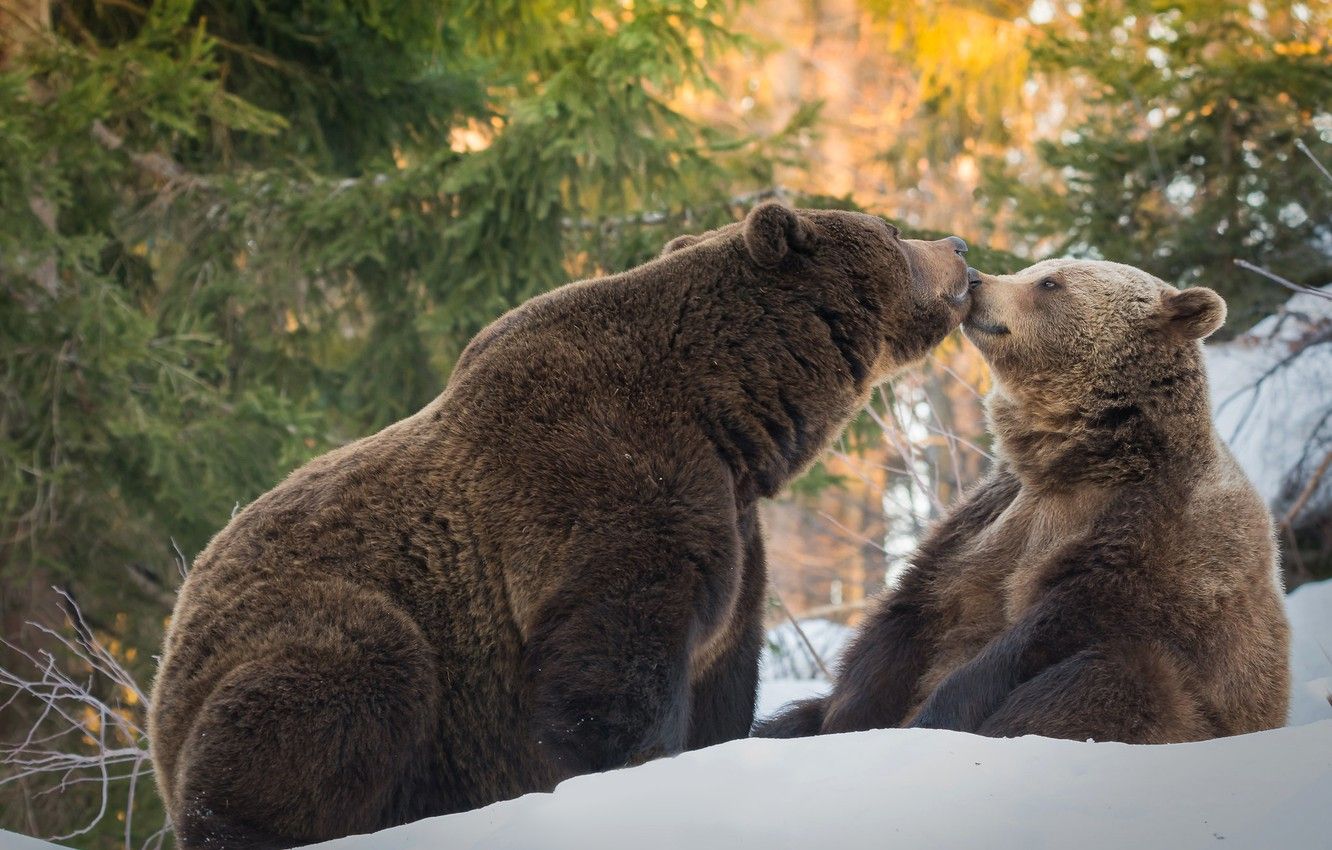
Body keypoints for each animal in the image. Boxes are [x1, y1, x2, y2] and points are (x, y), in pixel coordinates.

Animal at [147, 202, 974, 848]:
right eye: (891, 231)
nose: (958, 247)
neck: (729, 416)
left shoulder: (730, 527)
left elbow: (722, 671)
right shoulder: (604, 488)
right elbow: (611, 672)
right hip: (314, 639)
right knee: (350, 678)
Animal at [755, 258, 1291, 744]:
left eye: (1050, 282)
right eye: (1032, 268)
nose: (975, 279)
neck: (1073, 461)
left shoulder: (1152, 534)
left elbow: (1043, 632)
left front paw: (932, 718)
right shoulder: (989, 515)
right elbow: (908, 615)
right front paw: (845, 721)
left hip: (1194, 705)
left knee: (1114, 679)